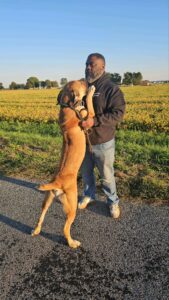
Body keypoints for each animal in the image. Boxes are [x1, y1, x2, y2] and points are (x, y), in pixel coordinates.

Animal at [31, 79, 95, 248]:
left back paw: (36, 230)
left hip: (47, 200)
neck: (68, 106)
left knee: (41, 216)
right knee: (66, 228)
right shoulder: (89, 117)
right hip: (72, 207)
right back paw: (72, 243)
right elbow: (90, 104)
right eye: (80, 82)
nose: (87, 81)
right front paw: (91, 91)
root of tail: (57, 183)